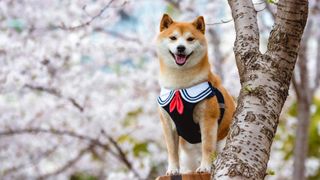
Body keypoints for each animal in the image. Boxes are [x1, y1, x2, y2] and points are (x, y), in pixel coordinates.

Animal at [156, 14, 236, 176]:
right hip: (188, 156)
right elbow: (172, 150)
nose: (181, 48)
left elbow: (207, 146)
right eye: (173, 38)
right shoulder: (167, 123)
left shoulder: (208, 119)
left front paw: (205, 167)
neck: (180, 87)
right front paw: (173, 169)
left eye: (190, 39)